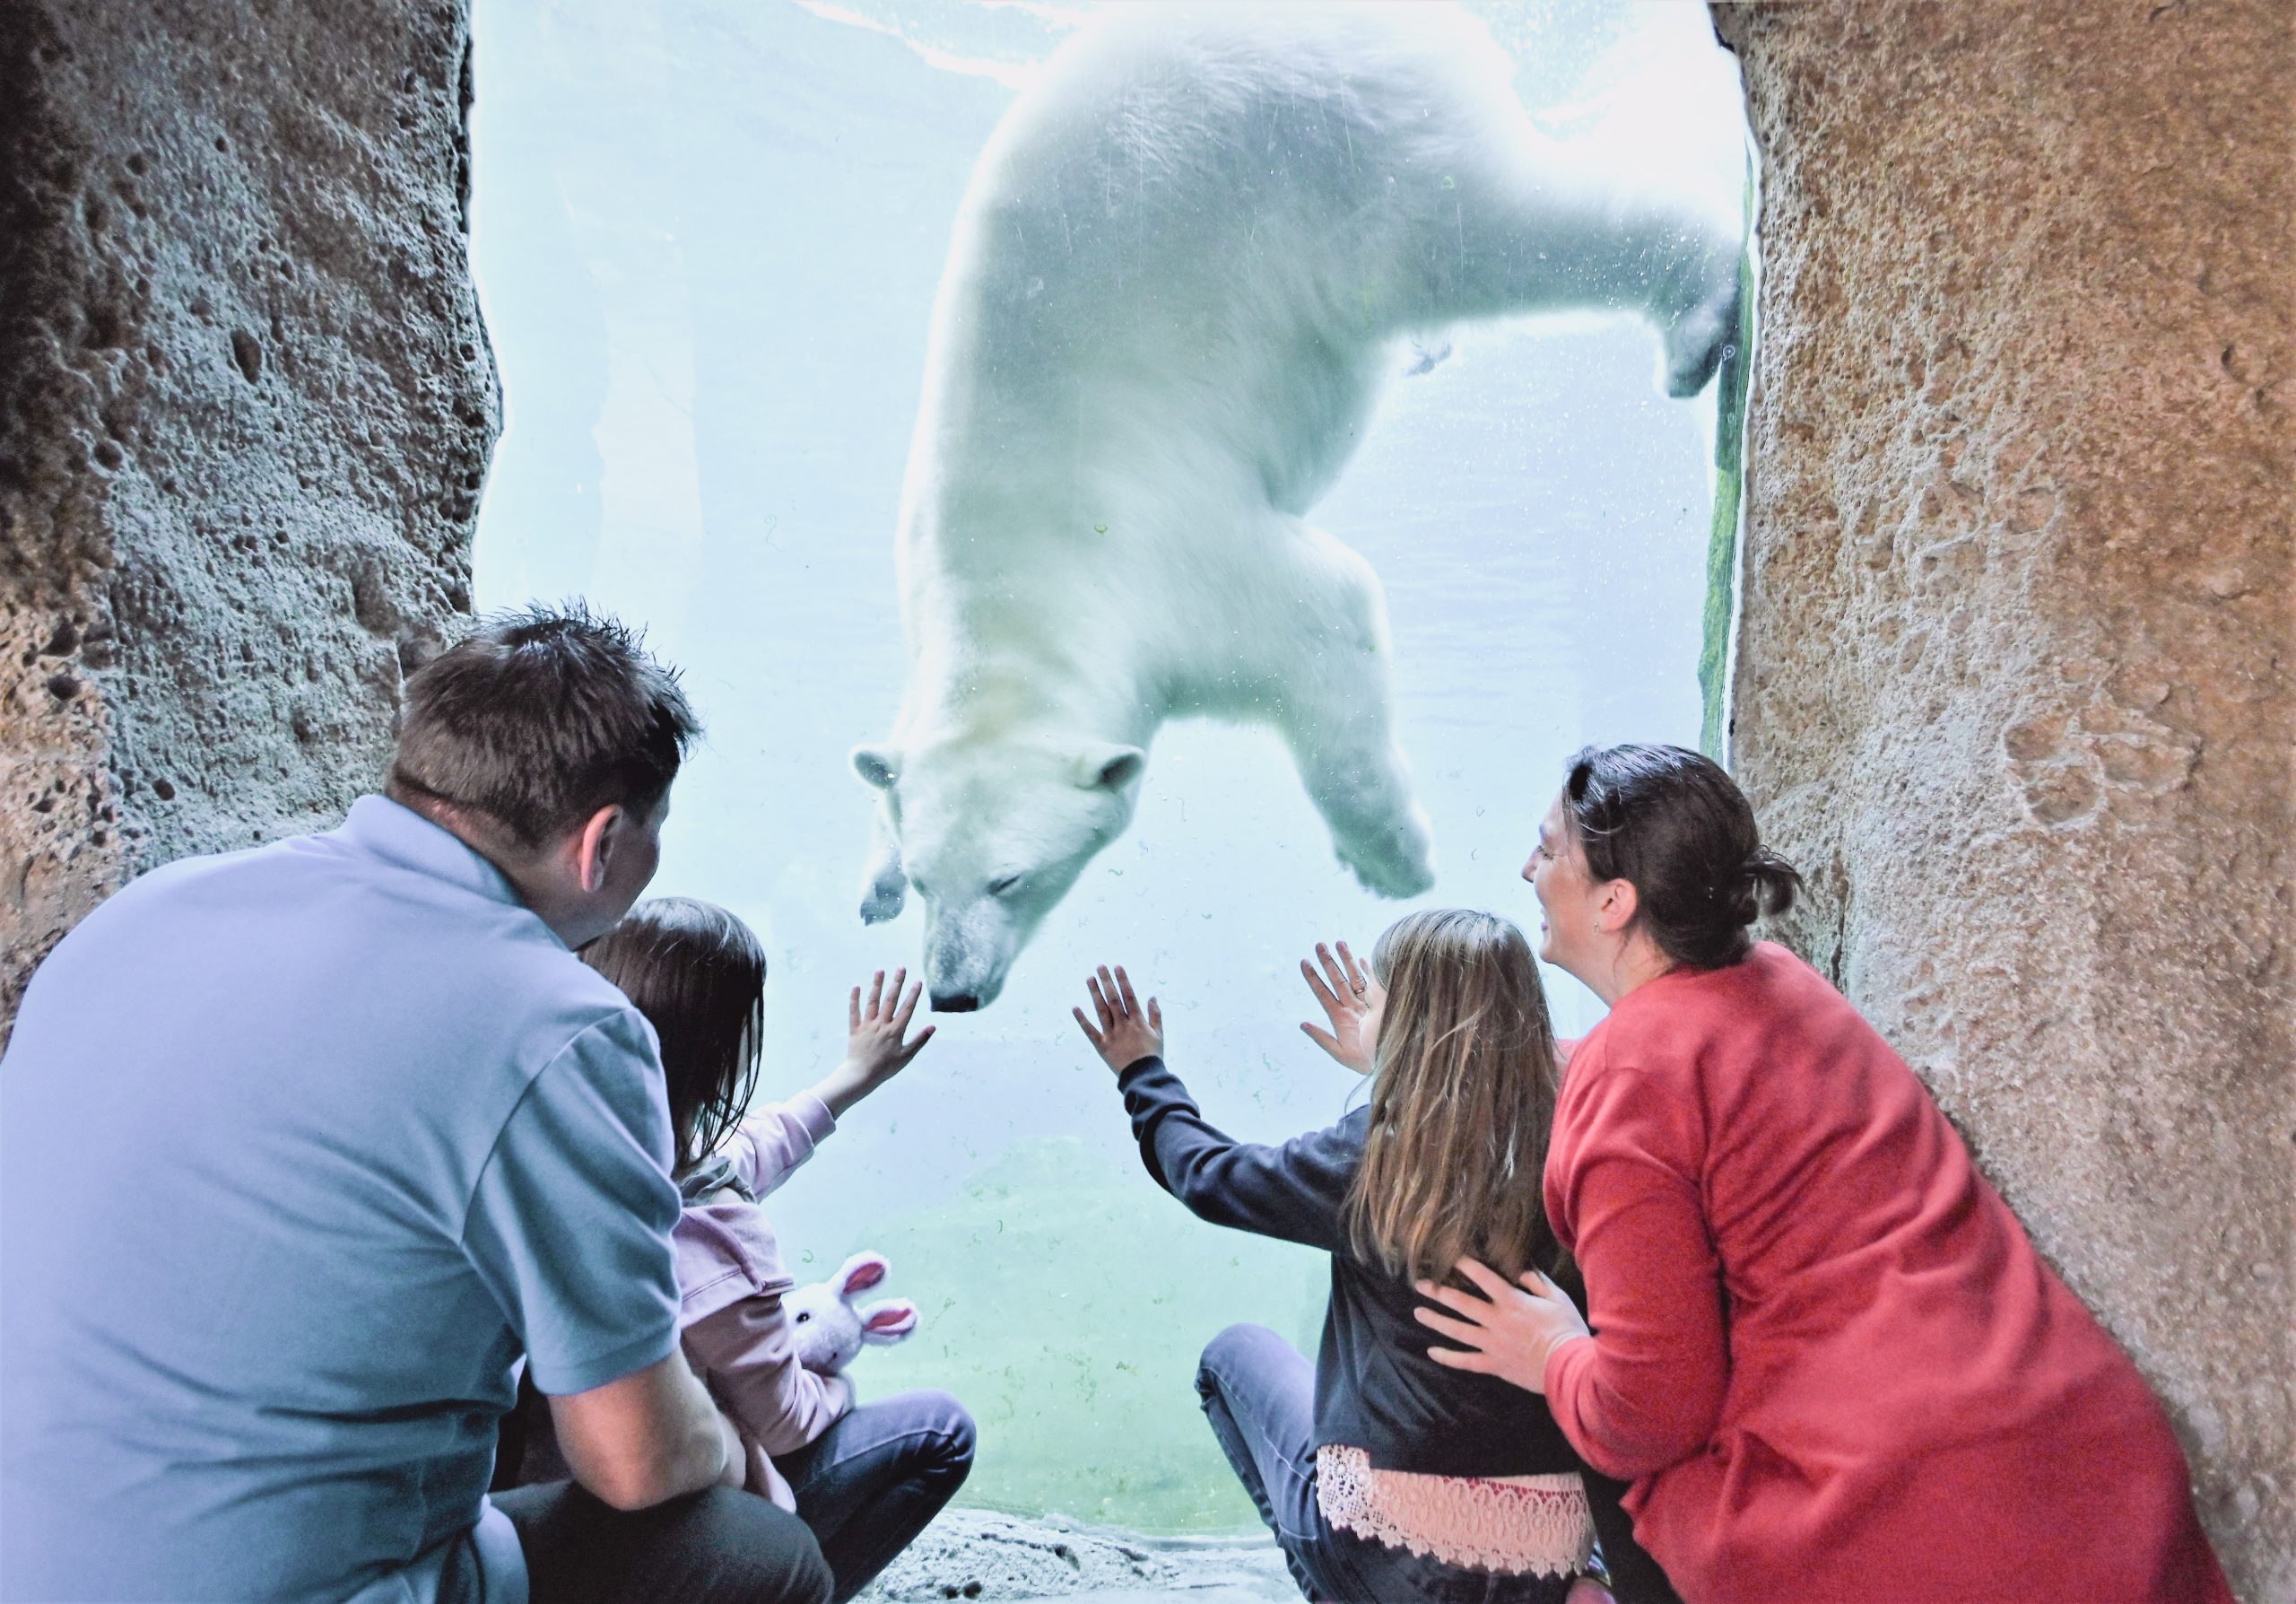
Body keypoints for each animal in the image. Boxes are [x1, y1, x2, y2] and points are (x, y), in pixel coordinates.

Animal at [854, 0, 1726, 1006]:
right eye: (930, 879)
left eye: (1012, 877)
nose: (954, 989)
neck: (1012, 577)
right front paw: (870, 875)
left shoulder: (1165, 562)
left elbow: (1321, 614)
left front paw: (1391, 857)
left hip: (1341, 151)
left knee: (1484, 233)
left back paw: (1696, 314)